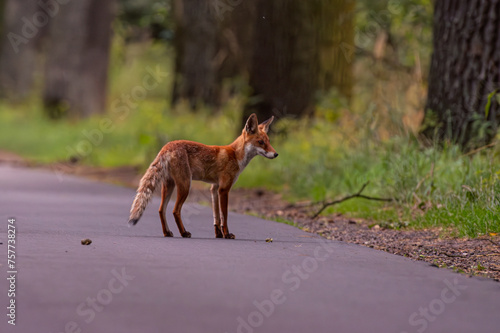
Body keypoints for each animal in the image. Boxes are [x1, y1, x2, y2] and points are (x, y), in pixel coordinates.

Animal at [128, 114, 278, 239]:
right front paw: (227, 234)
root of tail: (167, 146)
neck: (236, 155)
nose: (276, 154)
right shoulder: (224, 189)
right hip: (185, 185)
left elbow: (216, 216)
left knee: (161, 210)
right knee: (175, 211)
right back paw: (184, 233)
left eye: (269, 141)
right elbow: (224, 216)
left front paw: (218, 234)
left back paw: (167, 232)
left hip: (169, 185)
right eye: (261, 142)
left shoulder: (214, 188)